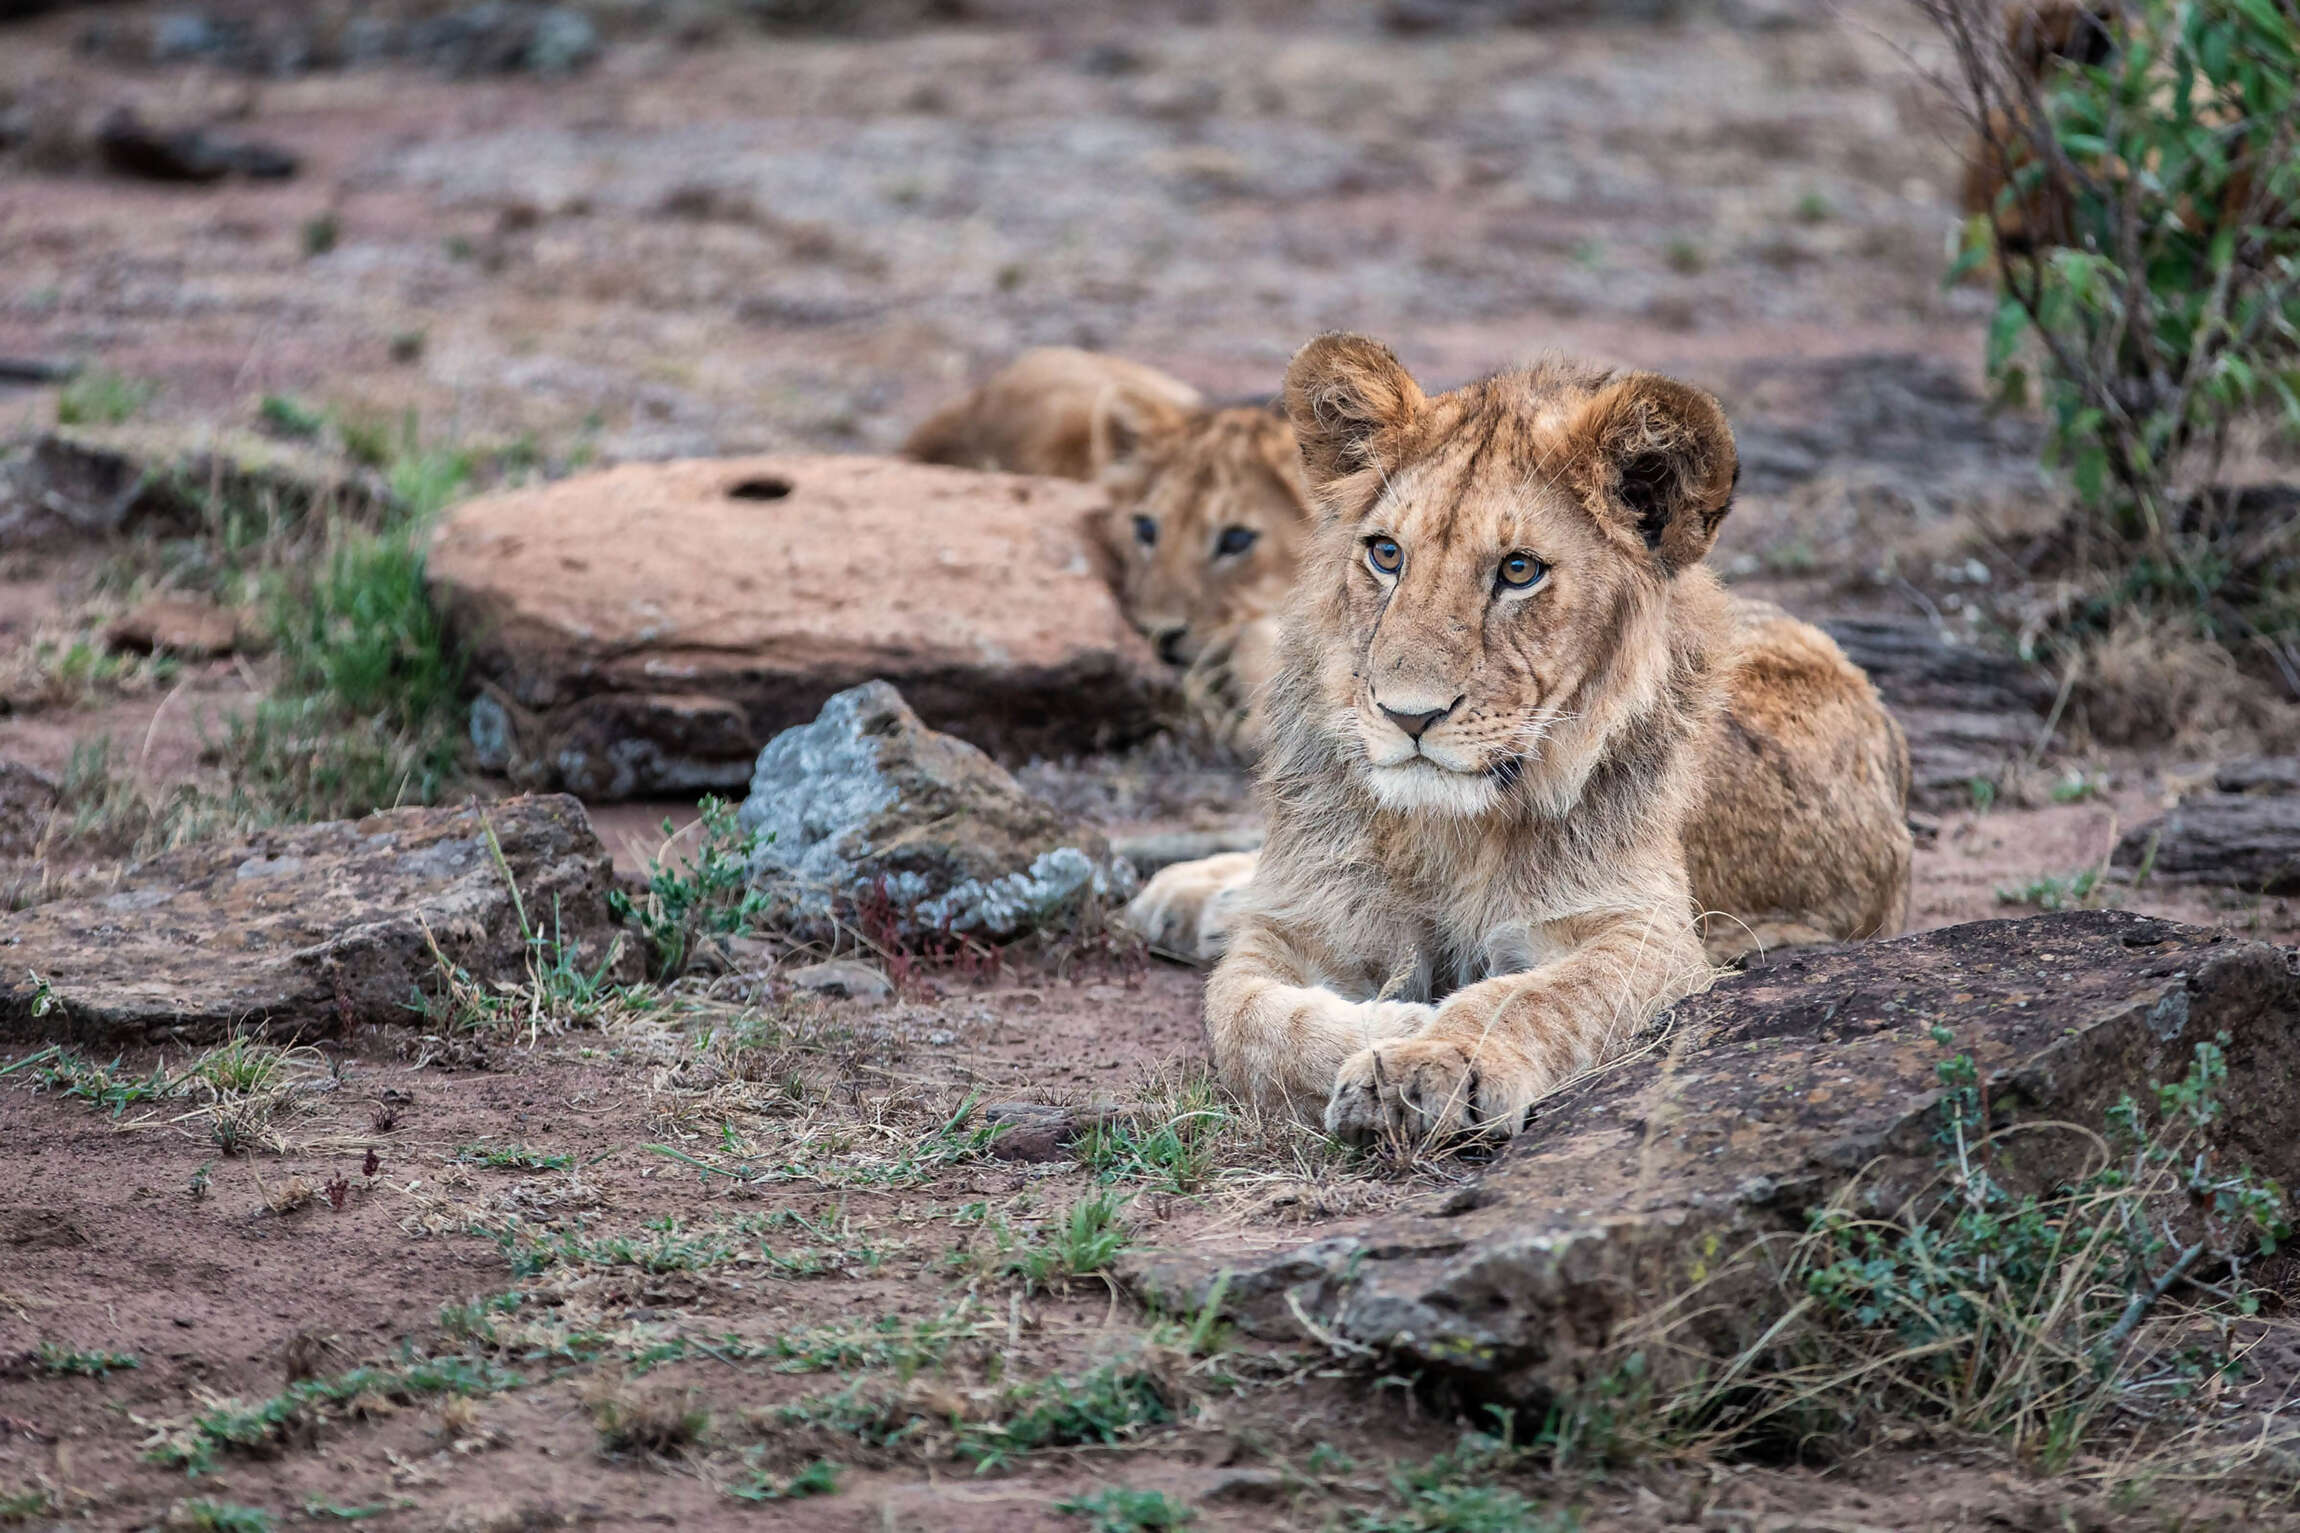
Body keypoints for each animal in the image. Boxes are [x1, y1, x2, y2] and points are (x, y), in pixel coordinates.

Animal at [1129, 334, 1912, 1146]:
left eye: (1518, 570)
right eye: (1386, 554)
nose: (1407, 716)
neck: (1444, 832)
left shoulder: (1648, 935)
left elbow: (1532, 996)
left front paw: (1428, 1056)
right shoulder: (1300, 922)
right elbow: (1244, 1019)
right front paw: (1393, 1019)